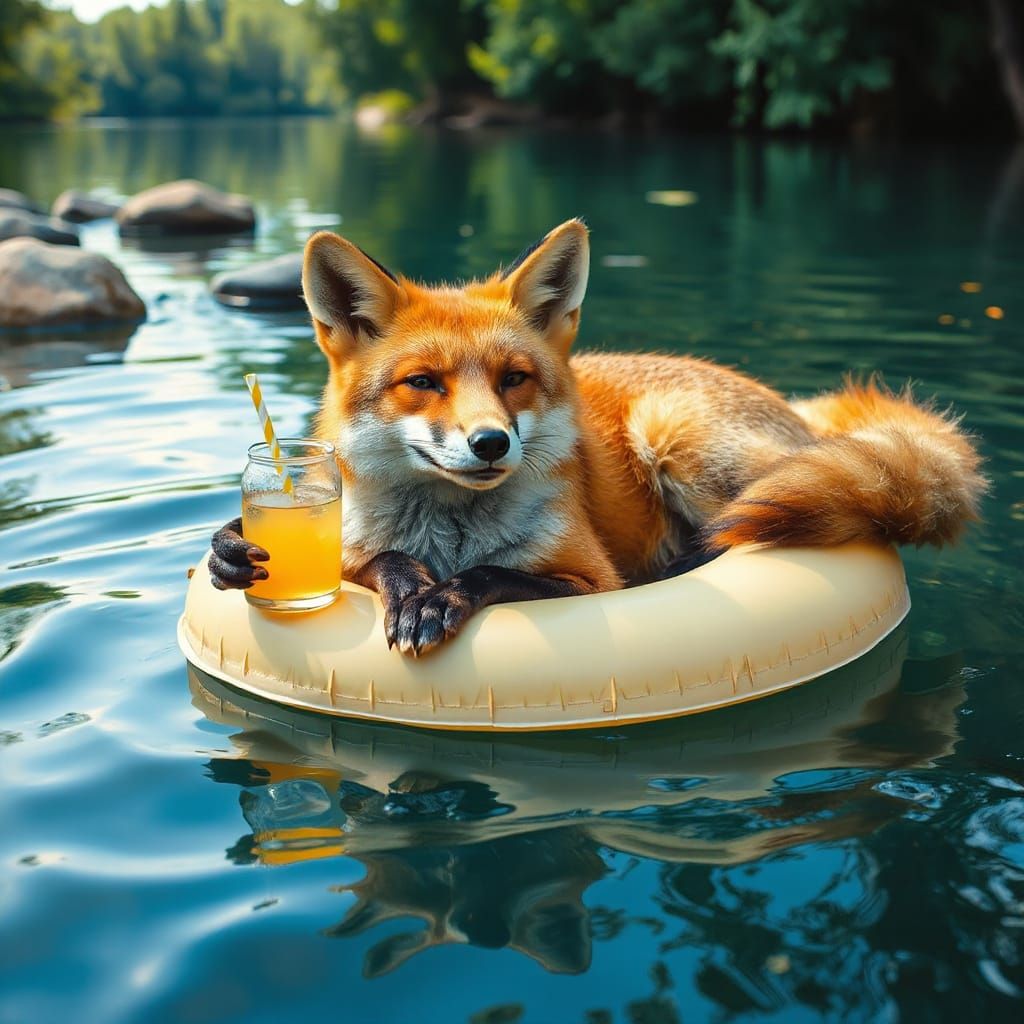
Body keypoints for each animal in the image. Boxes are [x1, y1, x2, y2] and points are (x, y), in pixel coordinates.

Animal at [209, 219, 986, 656]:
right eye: (423, 382)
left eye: (514, 378)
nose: (491, 443)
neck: (452, 535)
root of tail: (794, 410)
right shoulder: (348, 558)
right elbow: (382, 561)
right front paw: (405, 587)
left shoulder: (591, 581)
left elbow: (498, 574)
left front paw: (445, 596)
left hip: (673, 437)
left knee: (734, 538)